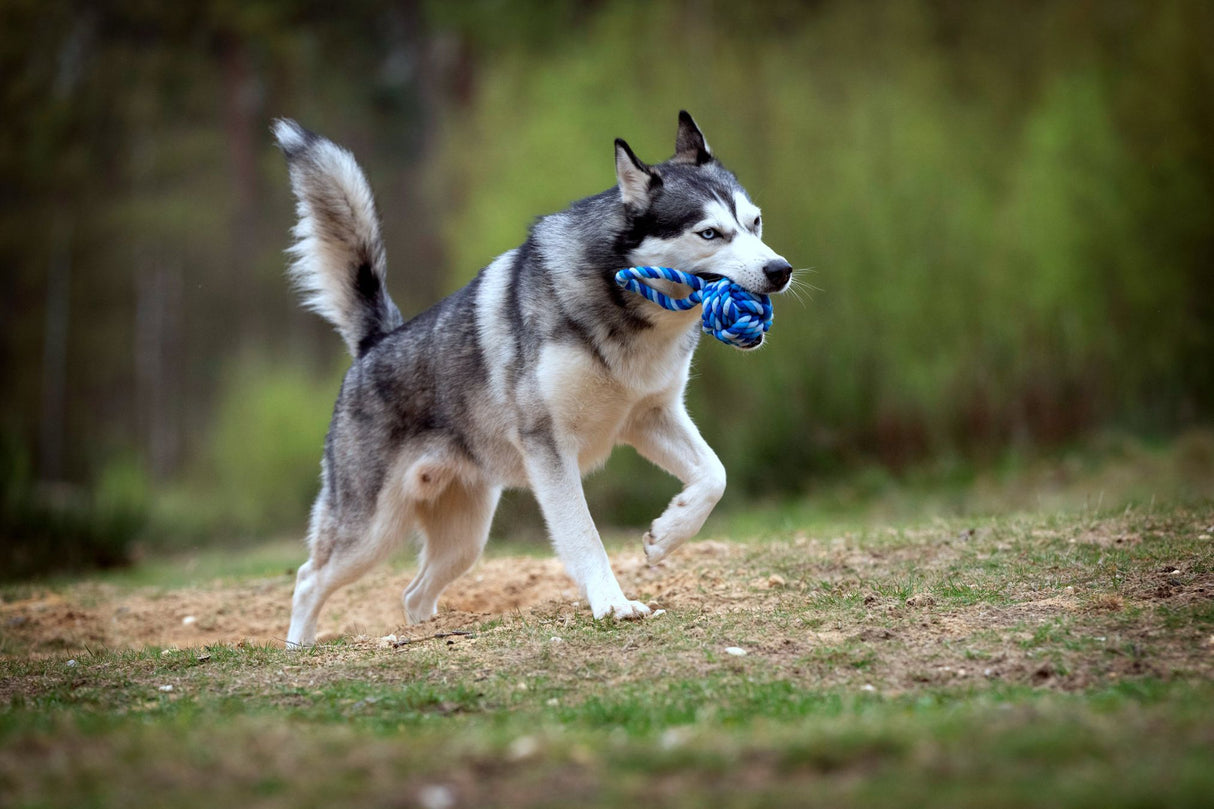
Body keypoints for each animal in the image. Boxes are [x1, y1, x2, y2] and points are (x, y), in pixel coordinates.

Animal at [270, 111, 791, 641]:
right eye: (710, 233)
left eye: (755, 223)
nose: (780, 269)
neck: (622, 304)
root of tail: (376, 341)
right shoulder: (549, 446)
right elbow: (583, 534)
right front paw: (612, 603)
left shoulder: (651, 417)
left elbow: (714, 475)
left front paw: (667, 535)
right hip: (372, 530)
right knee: (308, 580)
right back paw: (299, 647)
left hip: (465, 538)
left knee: (413, 592)